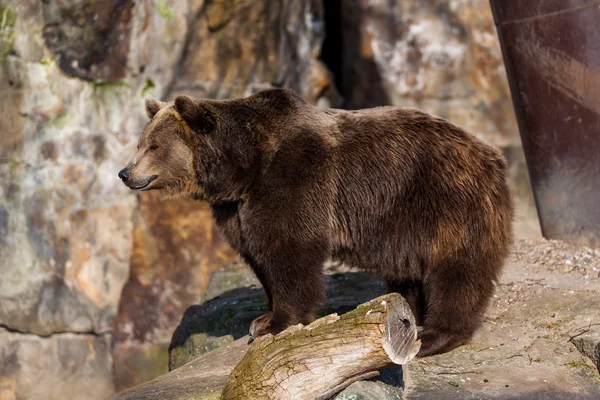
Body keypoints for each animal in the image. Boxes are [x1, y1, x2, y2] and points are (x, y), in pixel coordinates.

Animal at [119, 87, 512, 356]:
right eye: (140, 143)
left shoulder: (294, 177)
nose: (125, 173)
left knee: (457, 269)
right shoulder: (236, 208)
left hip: (445, 200)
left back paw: (433, 335)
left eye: (153, 146)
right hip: (404, 224)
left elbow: (290, 249)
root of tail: (491, 154)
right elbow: (258, 253)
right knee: (410, 270)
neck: (244, 168)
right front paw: (263, 317)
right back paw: (409, 310)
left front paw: (275, 323)